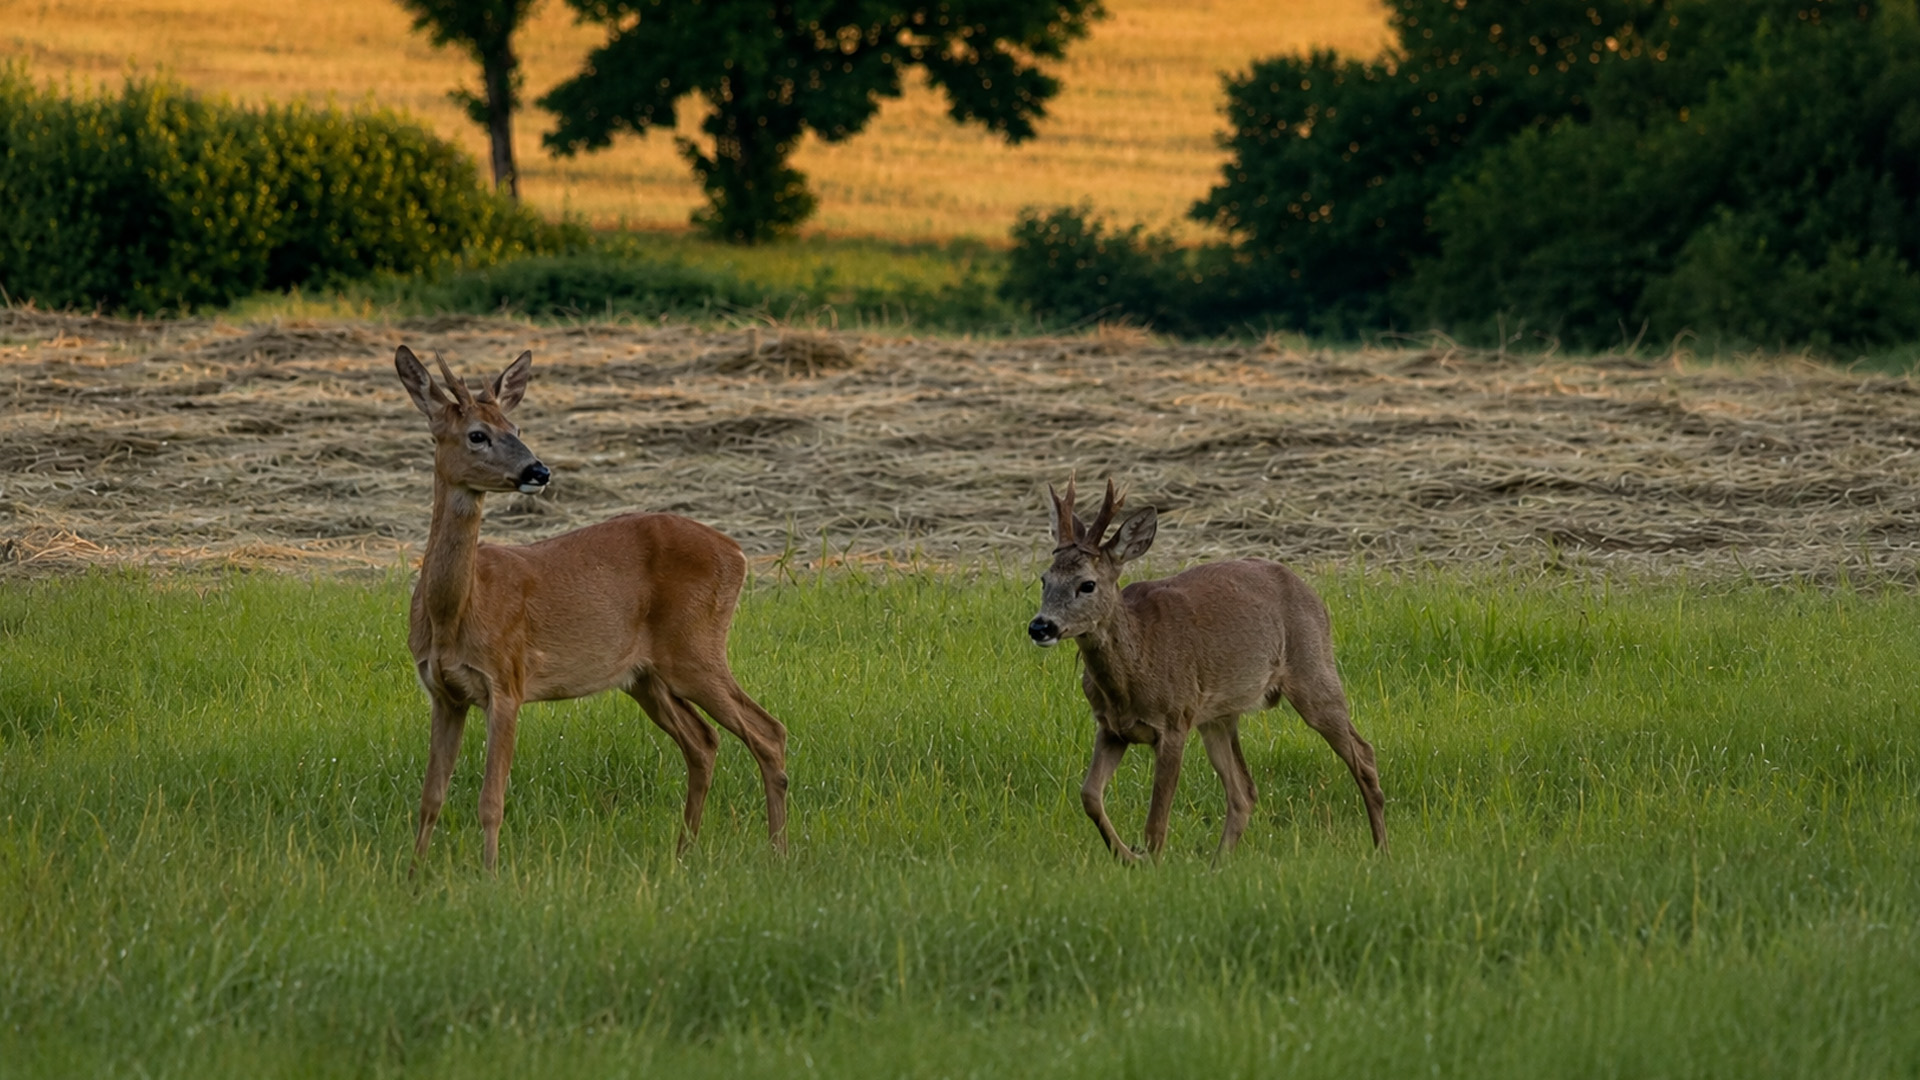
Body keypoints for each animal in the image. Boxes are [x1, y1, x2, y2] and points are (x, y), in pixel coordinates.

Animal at [392, 345, 789, 872]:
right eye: (478, 434)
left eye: (516, 427)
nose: (538, 471)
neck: (453, 613)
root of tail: (740, 553)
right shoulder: (444, 693)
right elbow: (430, 796)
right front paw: (414, 875)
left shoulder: (508, 681)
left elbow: (490, 800)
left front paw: (490, 875)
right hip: (644, 677)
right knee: (703, 742)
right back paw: (683, 853)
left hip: (695, 650)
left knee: (768, 732)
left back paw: (778, 853)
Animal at [1026, 478, 1386, 861]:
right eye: (1044, 579)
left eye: (1087, 584)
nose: (1040, 626)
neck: (1134, 671)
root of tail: (1311, 592)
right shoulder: (1111, 727)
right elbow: (1090, 796)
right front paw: (1127, 856)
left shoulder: (1174, 720)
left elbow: (1156, 823)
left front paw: (1147, 860)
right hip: (1218, 717)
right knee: (1244, 792)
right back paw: (1218, 863)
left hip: (1313, 671)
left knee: (1363, 754)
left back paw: (1382, 850)